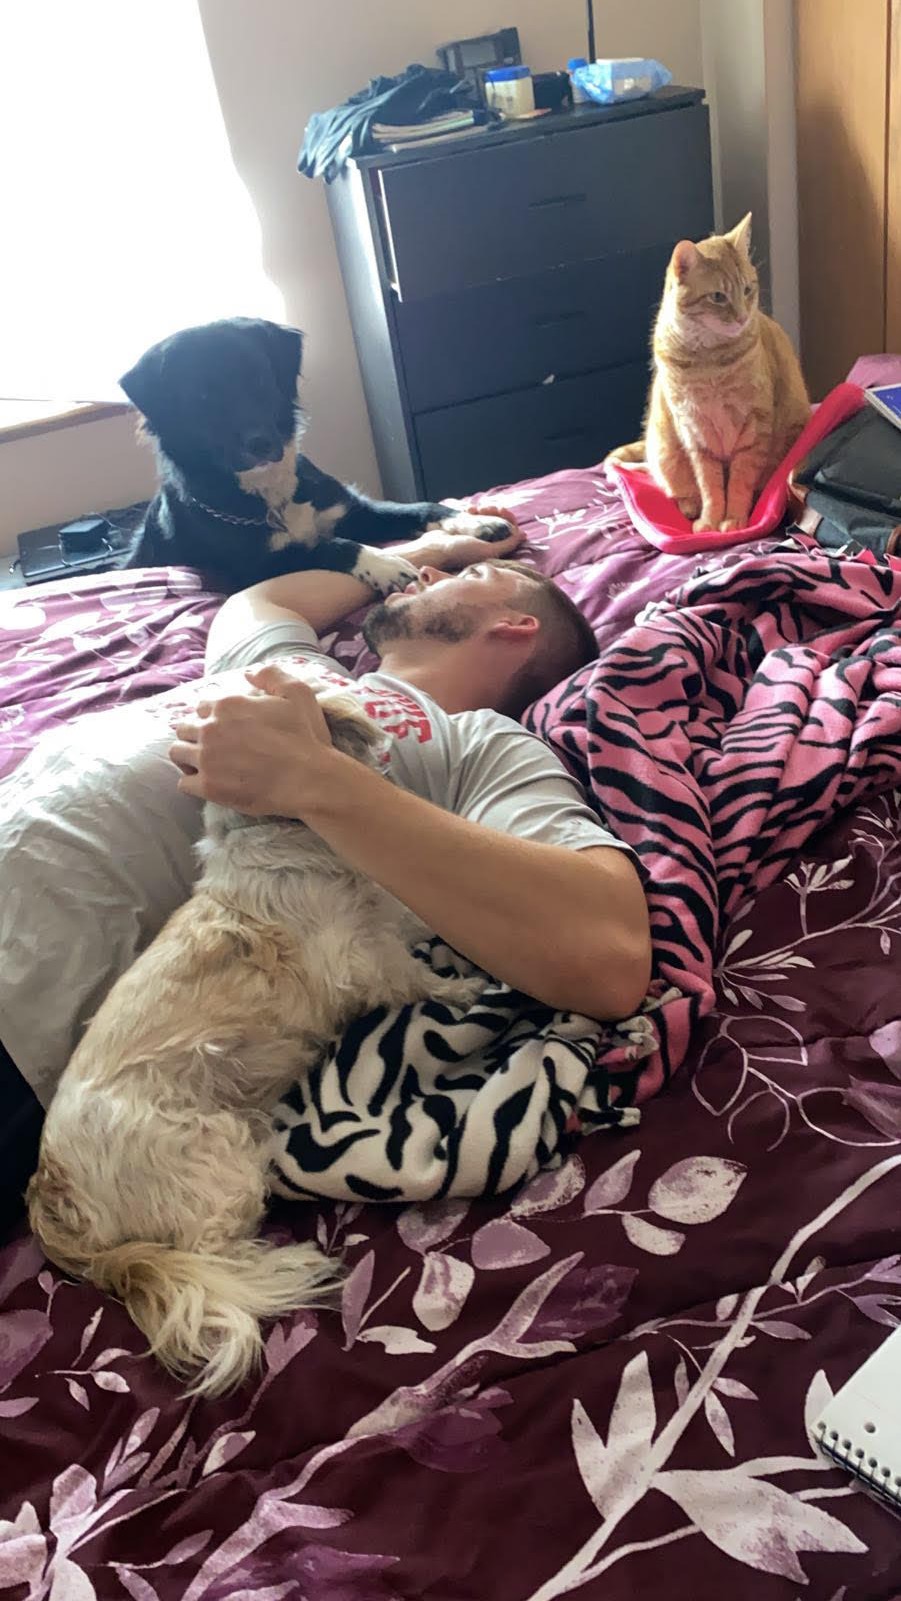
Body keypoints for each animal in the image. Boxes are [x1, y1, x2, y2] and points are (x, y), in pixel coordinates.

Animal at [26, 682, 480, 1396]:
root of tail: (53, 1190)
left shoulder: (382, 922)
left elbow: (411, 924)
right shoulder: (363, 958)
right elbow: (417, 975)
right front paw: (462, 987)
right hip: (216, 1160)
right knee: (212, 1249)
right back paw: (274, 1268)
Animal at [120, 315, 515, 592]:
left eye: (259, 379)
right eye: (201, 398)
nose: (261, 444)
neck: (269, 493)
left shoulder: (353, 511)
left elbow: (420, 507)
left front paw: (472, 521)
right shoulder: (257, 571)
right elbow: (331, 546)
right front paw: (384, 564)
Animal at [611, 214, 812, 531]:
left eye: (747, 290)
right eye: (718, 297)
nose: (742, 316)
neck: (709, 361)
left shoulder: (753, 428)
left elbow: (740, 482)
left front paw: (735, 519)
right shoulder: (695, 433)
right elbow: (711, 487)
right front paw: (710, 520)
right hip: (664, 447)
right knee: (674, 487)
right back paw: (690, 506)